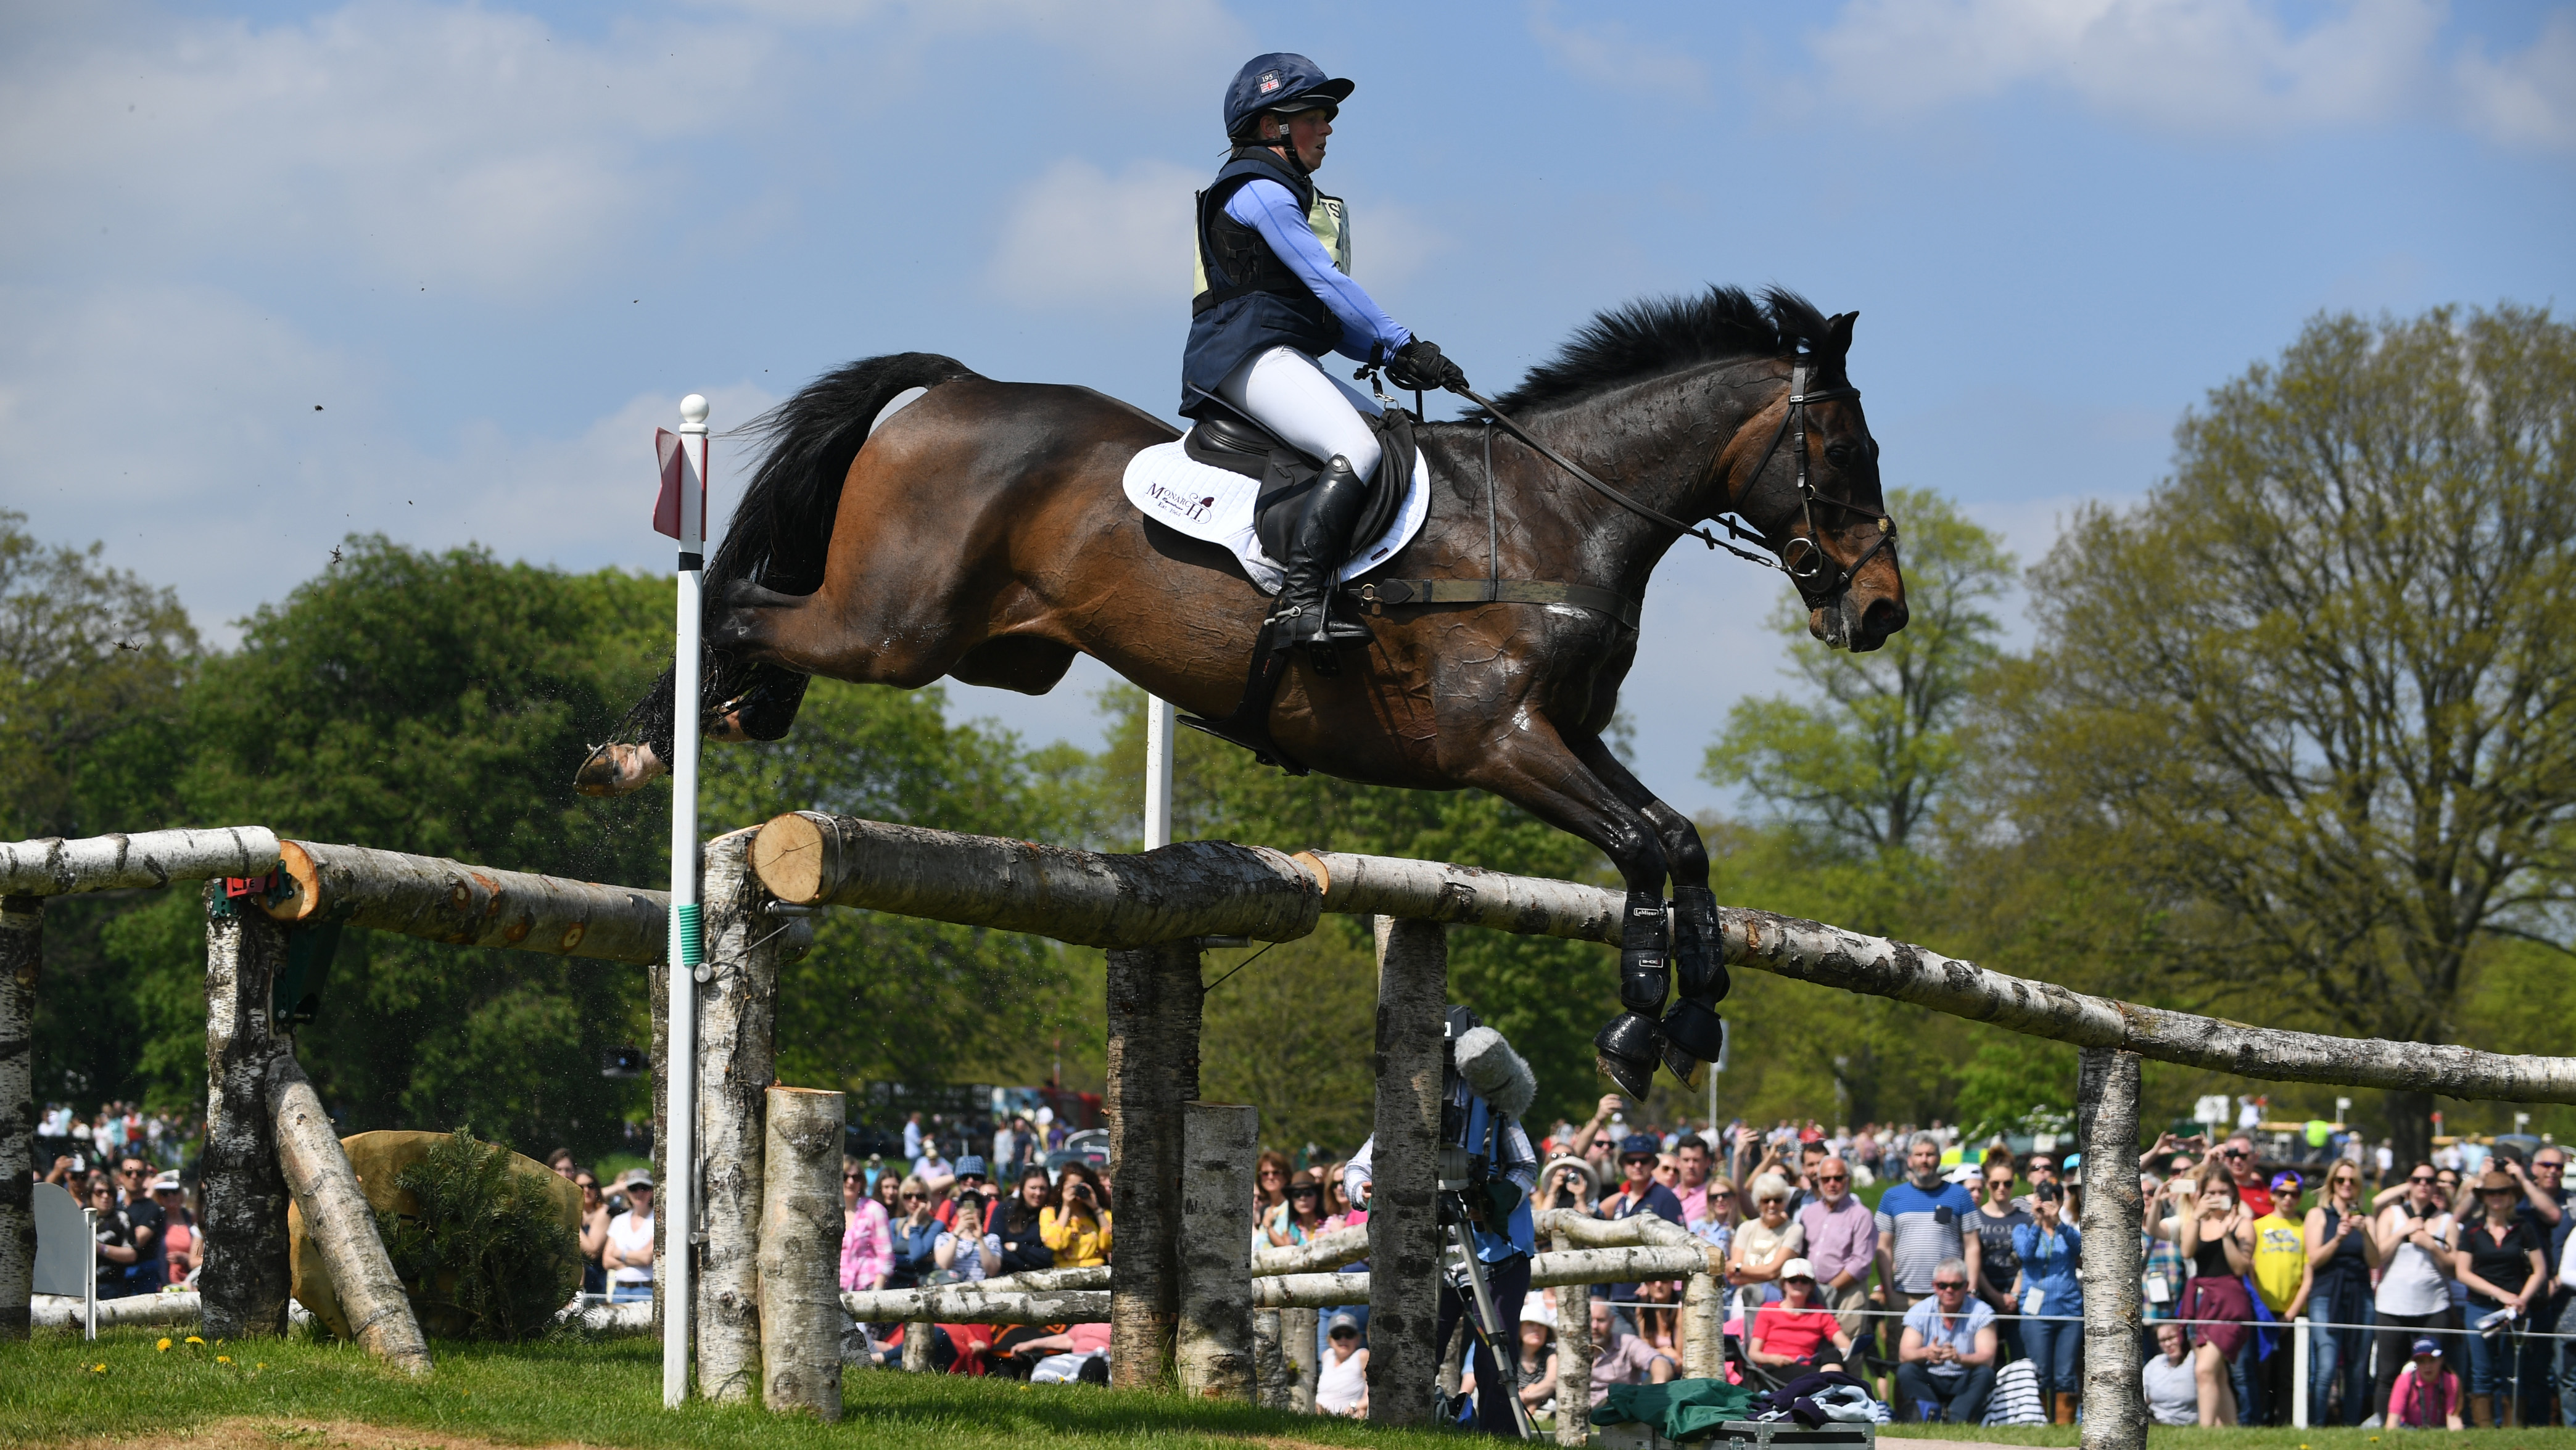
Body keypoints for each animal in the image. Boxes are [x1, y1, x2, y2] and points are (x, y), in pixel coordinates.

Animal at [577, 285, 1907, 1096]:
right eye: (1846, 450)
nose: (1884, 610)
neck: (1557, 511)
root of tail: (956, 386)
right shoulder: (1501, 743)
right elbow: (1639, 845)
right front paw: (1638, 1026)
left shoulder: (1569, 733)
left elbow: (1677, 842)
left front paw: (1693, 1013)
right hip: (894, 627)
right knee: (738, 600)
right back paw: (639, 749)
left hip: (983, 642)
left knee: (774, 619)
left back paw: (736, 713)